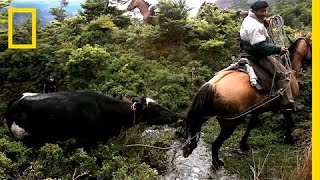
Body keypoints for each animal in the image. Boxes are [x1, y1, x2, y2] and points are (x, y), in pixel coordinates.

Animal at [182, 34, 312, 169]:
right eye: (311, 44)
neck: (290, 69)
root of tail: (213, 85)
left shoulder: (257, 109)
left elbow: (252, 124)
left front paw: (244, 145)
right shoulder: (286, 106)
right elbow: (289, 120)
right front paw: (289, 139)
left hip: (206, 115)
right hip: (230, 124)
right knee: (216, 143)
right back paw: (216, 162)